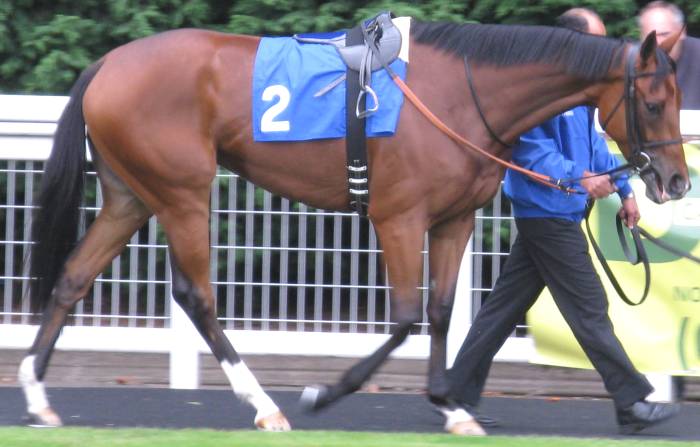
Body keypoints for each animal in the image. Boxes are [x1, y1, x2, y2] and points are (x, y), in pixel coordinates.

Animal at [19, 17, 689, 433]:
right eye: (654, 103)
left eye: (678, 100)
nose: (677, 182)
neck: (462, 94)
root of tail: (107, 64)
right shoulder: (399, 218)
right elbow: (406, 316)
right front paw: (326, 391)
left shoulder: (454, 219)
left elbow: (441, 312)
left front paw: (452, 407)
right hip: (182, 192)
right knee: (196, 295)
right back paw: (265, 406)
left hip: (130, 195)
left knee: (74, 277)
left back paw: (37, 394)